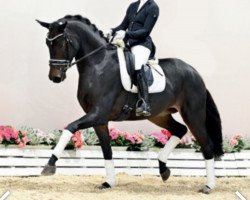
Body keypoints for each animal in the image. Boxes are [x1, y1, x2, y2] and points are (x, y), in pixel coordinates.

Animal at [36, 14, 223, 193]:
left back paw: (208, 186)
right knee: (180, 130)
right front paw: (109, 182)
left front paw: (49, 165)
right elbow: (107, 150)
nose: (55, 77)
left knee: (206, 144)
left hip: (192, 115)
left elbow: (70, 127)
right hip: (159, 115)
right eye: (47, 42)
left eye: (62, 42)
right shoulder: (99, 120)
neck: (98, 64)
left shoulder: (98, 113)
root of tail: (194, 72)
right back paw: (163, 169)